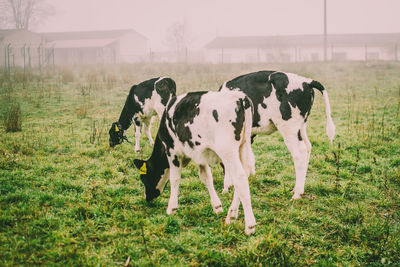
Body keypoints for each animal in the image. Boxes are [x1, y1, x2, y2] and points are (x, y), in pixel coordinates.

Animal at [133, 91, 258, 236]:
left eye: (144, 178)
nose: (147, 198)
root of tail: (239, 97)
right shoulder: (199, 154)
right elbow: (206, 177)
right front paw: (217, 206)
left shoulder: (172, 152)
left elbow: (174, 179)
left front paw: (172, 208)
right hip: (242, 147)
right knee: (245, 175)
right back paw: (231, 215)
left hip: (228, 151)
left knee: (240, 178)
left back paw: (249, 225)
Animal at [220, 70, 336, 200]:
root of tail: (307, 81)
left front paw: (226, 188)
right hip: (301, 126)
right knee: (308, 147)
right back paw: (297, 189)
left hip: (289, 127)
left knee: (300, 153)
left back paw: (297, 194)